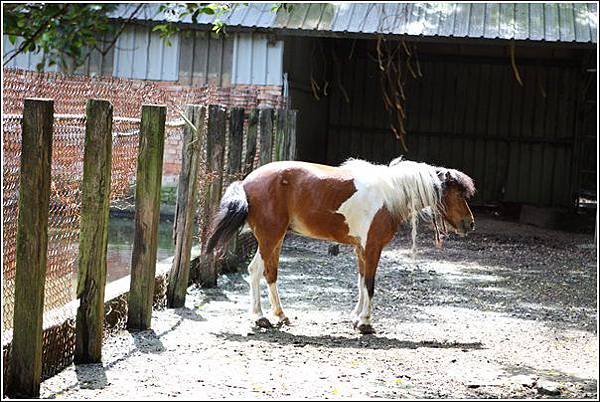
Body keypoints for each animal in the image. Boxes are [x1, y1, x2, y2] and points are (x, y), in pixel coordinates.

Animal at [204, 157, 476, 332]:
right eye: (459, 194)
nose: (469, 224)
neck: (389, 195)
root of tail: (247, 182)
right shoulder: (372, 247)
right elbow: (370, 284)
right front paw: (365, 322)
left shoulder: (361, 248)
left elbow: (361, 281)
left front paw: (356, 317)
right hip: (270, 237)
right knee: (256, 271)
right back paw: (261, 318)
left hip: (275, 238)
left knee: (268, 273)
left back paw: (279, 315)